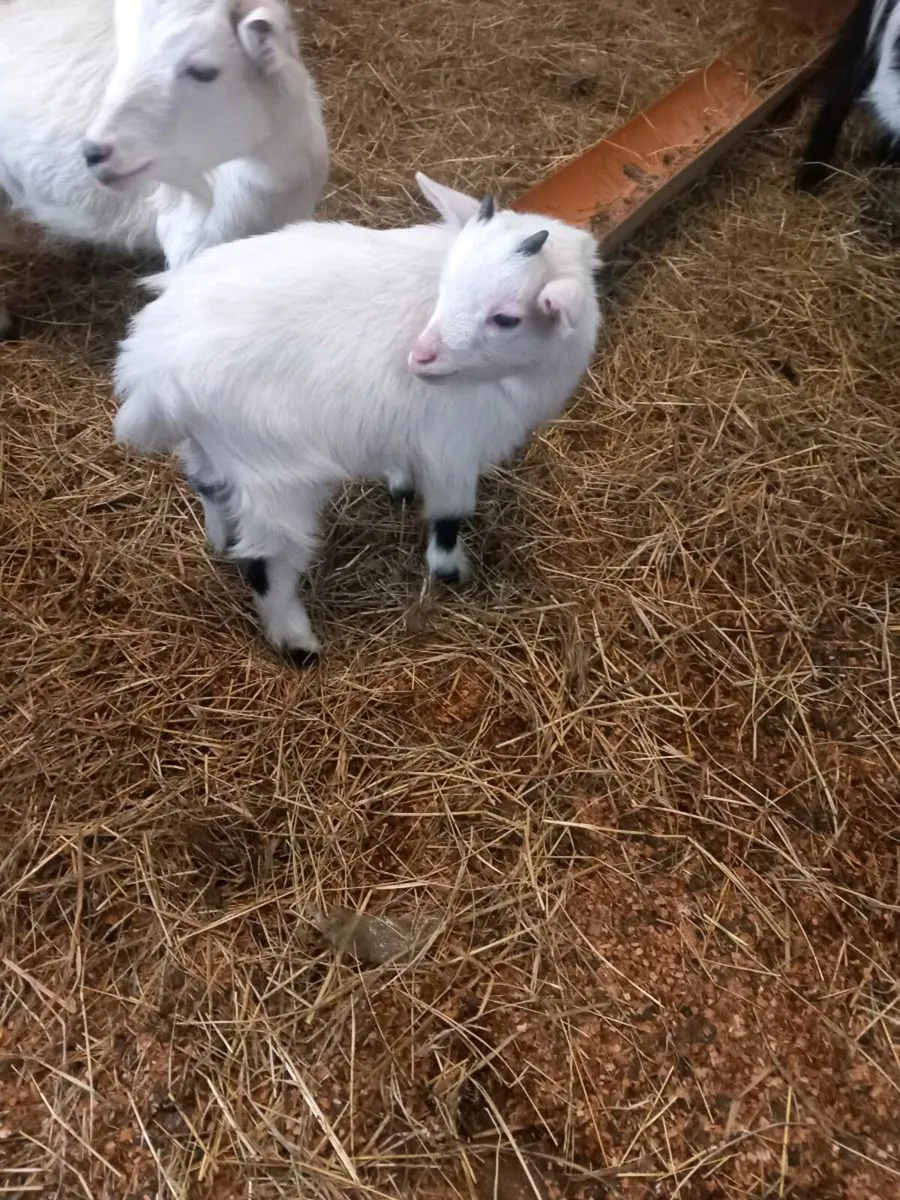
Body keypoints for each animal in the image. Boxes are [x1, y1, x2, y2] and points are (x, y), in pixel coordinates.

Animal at [113, 173, 602, 662]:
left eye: (506, 318)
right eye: (447, 284)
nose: (420, 357)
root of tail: (149, 365)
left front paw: (400, 485)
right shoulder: (453, 443)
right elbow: (449, 516)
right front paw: (451, 570)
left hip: (210, 445)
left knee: (206, 484)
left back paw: (221, 539)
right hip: (273, 472)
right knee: (265, 559)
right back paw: (297, 643)